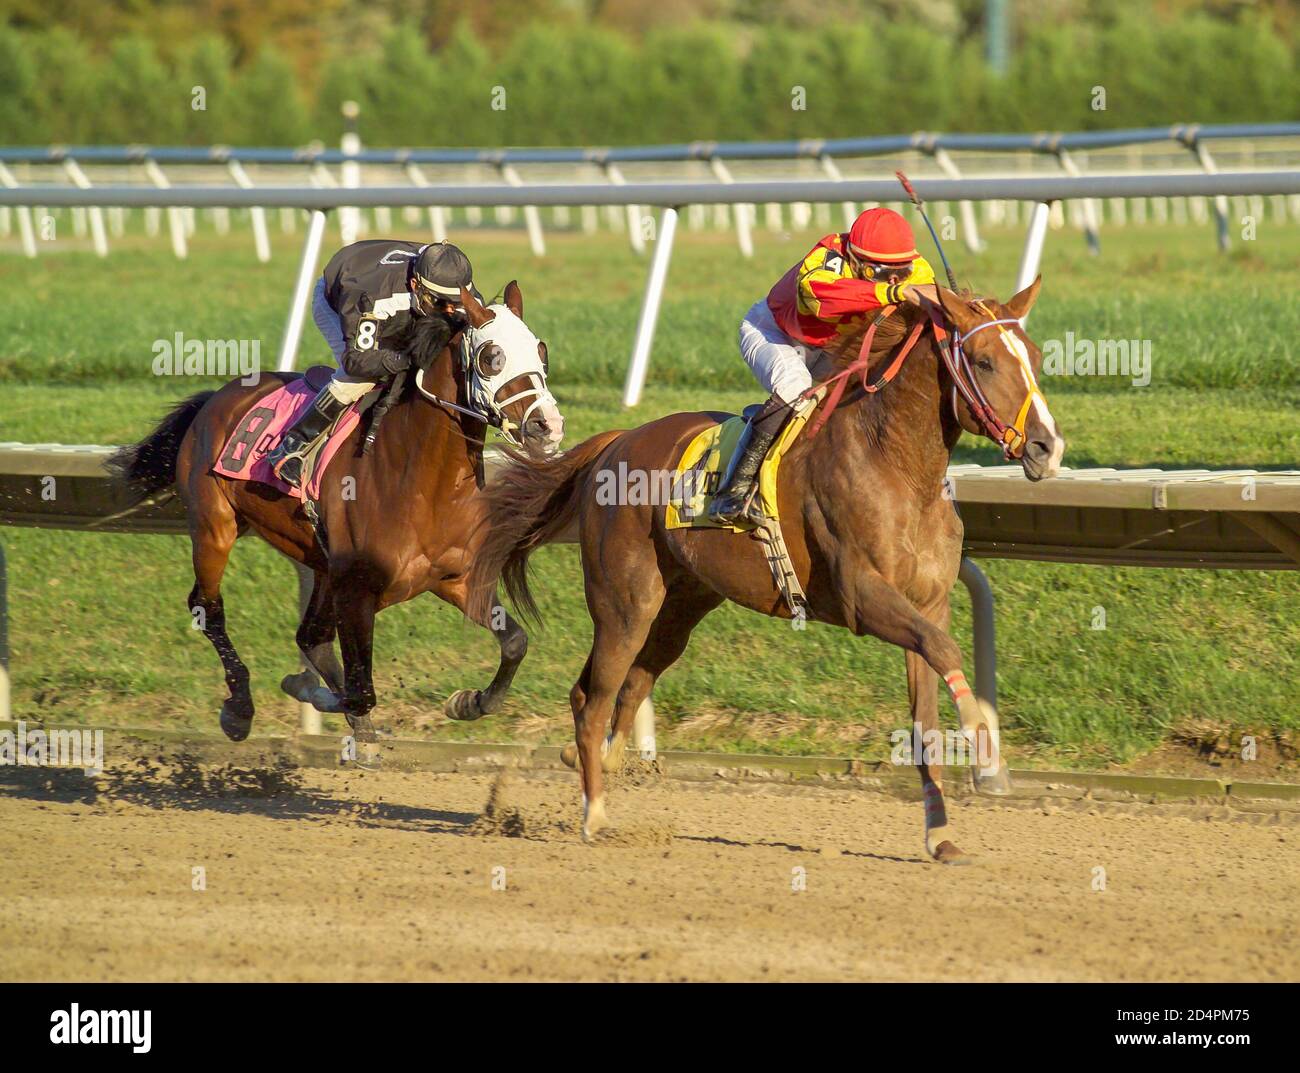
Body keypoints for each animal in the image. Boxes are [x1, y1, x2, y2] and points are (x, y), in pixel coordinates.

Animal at [109, 282, 563, 747]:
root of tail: (216, 397)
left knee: (309, 636)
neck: (421, 479)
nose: (548, 425)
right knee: (207, 606)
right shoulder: (357, 591)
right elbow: (361, 691)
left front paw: (469, 702)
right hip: (213, 526)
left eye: (541, 351)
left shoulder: (454, 579)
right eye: (493, 356)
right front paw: (338, 711)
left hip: (320, 562)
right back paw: (239, 708)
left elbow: (515, 643)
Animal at [469, 279, 1064, 861]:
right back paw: (594, 814)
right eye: (984, 361)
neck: (897, 465)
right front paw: (982, 737)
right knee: (596, 700)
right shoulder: (863, 597)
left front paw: (940, 834)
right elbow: (945, 650)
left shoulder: (927, 605)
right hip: (626, 604)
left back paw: (595, 761)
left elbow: (927, 708)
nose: (1047, 446)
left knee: (622, 684)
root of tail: (615, 442)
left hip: (682, 604)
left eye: (1034, 356)